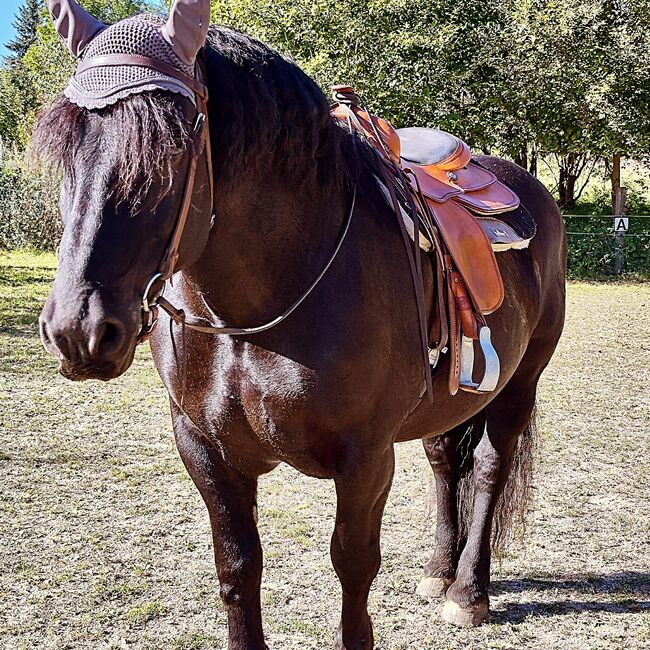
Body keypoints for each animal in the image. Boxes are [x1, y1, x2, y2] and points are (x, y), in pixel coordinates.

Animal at [35, 2, 564, 644]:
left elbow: (354, 565)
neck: (253, 314)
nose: (78, 330)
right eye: (65, 145)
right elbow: (238, 566)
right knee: (445, 460)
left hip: (521, 379)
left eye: (174, 143)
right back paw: (440, 571)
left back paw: (468, 591)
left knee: (488, 467)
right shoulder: (204, 449)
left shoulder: (365, 457)